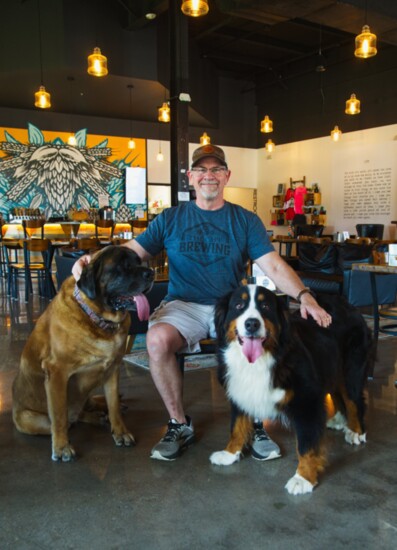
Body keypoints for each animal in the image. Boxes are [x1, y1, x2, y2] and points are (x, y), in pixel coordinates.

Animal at [12, 248, 153, 464]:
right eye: (122, 266)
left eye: (140, 261)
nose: (151, 273)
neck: (97, 318)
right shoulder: (57, 374)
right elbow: (59, 417)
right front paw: (62, 447)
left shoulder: (113, 369)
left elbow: (113, 405)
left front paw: (120, 432)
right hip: (30, 419)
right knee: (70, 419)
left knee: (86, 407)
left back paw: (101, 412)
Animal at [209, 286, 372, 498]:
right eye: (238, 305)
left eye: (265, 306)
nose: (252, 323)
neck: (262, 359)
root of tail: (349, 305)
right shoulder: (239, 390)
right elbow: (237, 426)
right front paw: (229, 453)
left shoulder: (307, 399)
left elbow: (306, 444)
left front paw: (303, 478)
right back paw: (337, 420)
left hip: (350, 369)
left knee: (354, 400)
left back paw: (355, 431)